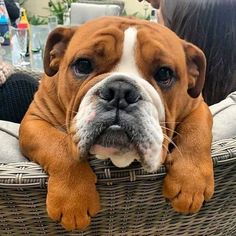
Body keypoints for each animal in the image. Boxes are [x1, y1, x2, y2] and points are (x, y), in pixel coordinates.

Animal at [18, 17, 214, 230]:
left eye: (164, 73)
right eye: (83, 65)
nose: (120, 91)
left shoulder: (198, 106)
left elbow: (196, 133)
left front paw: (191, 182)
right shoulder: (34, 120)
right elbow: (59, 146)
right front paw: (73, 199)